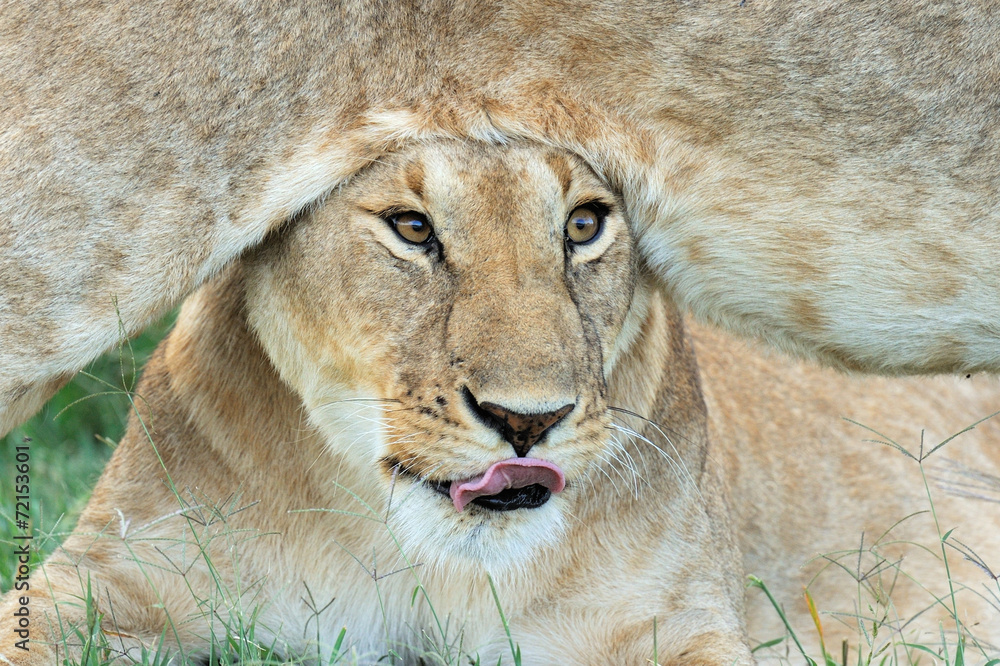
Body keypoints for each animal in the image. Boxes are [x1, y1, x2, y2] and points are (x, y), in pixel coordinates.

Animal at [2, 139, 997, 665]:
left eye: (585, 224)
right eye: (412, 228)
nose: (529, 420)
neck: (415, 558)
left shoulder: (679, 628)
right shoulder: (101, 582)